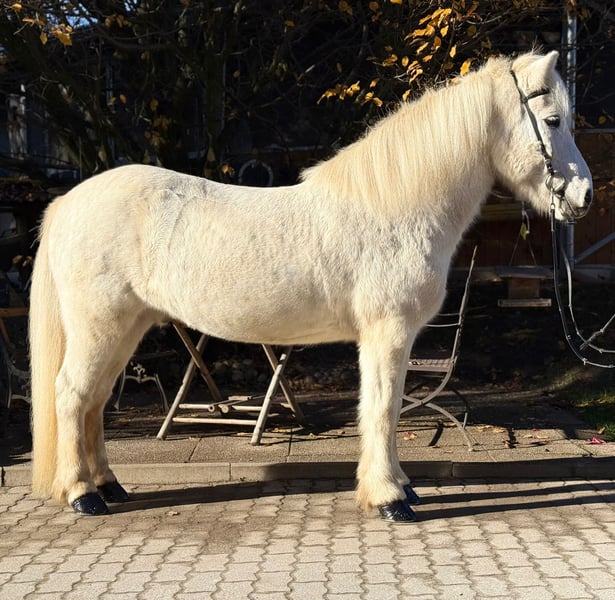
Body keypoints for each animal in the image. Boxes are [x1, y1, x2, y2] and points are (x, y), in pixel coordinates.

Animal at [29, 50, 592, 522]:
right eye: (553, 120)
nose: (584, 196)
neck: (397, 205)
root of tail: (68, 203)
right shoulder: (387, 333)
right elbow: (383, 408)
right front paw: (390, 499)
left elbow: (384, 408)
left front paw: (399, 487)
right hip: (101, 327)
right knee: (72, 394)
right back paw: (82, 495)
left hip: (127, 328)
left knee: (95, 401)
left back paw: (109, 486)